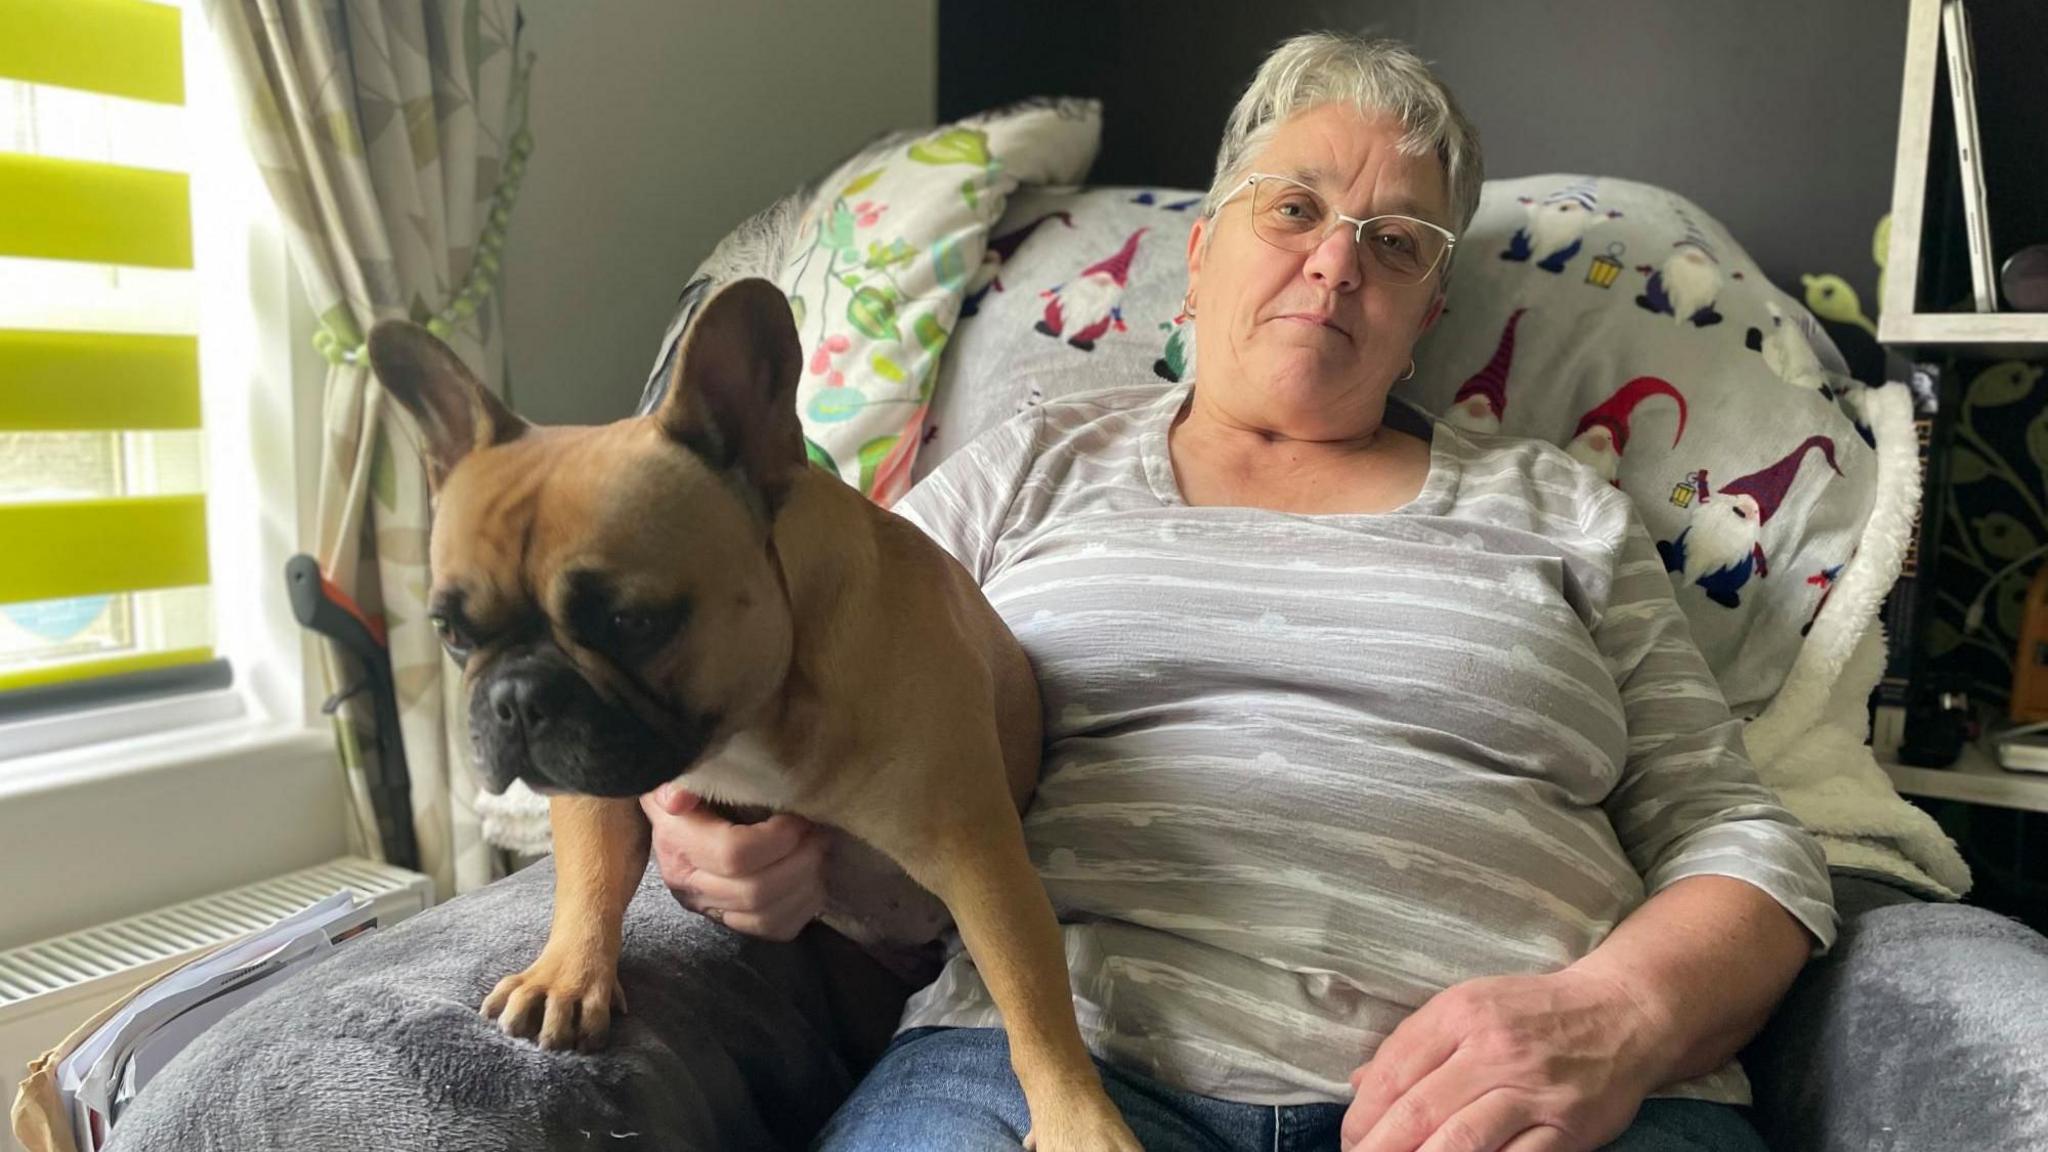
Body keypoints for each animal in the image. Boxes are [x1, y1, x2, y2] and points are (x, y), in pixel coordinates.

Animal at [368, 278, 1138, 1147]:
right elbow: (592, 875)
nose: (516, 698)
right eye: (450, 632)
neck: (758, 711)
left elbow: (1031, 996)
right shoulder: (598, 787)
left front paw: (1078, 1121)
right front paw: (566, 976)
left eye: (632, 622)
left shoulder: (979, 862)